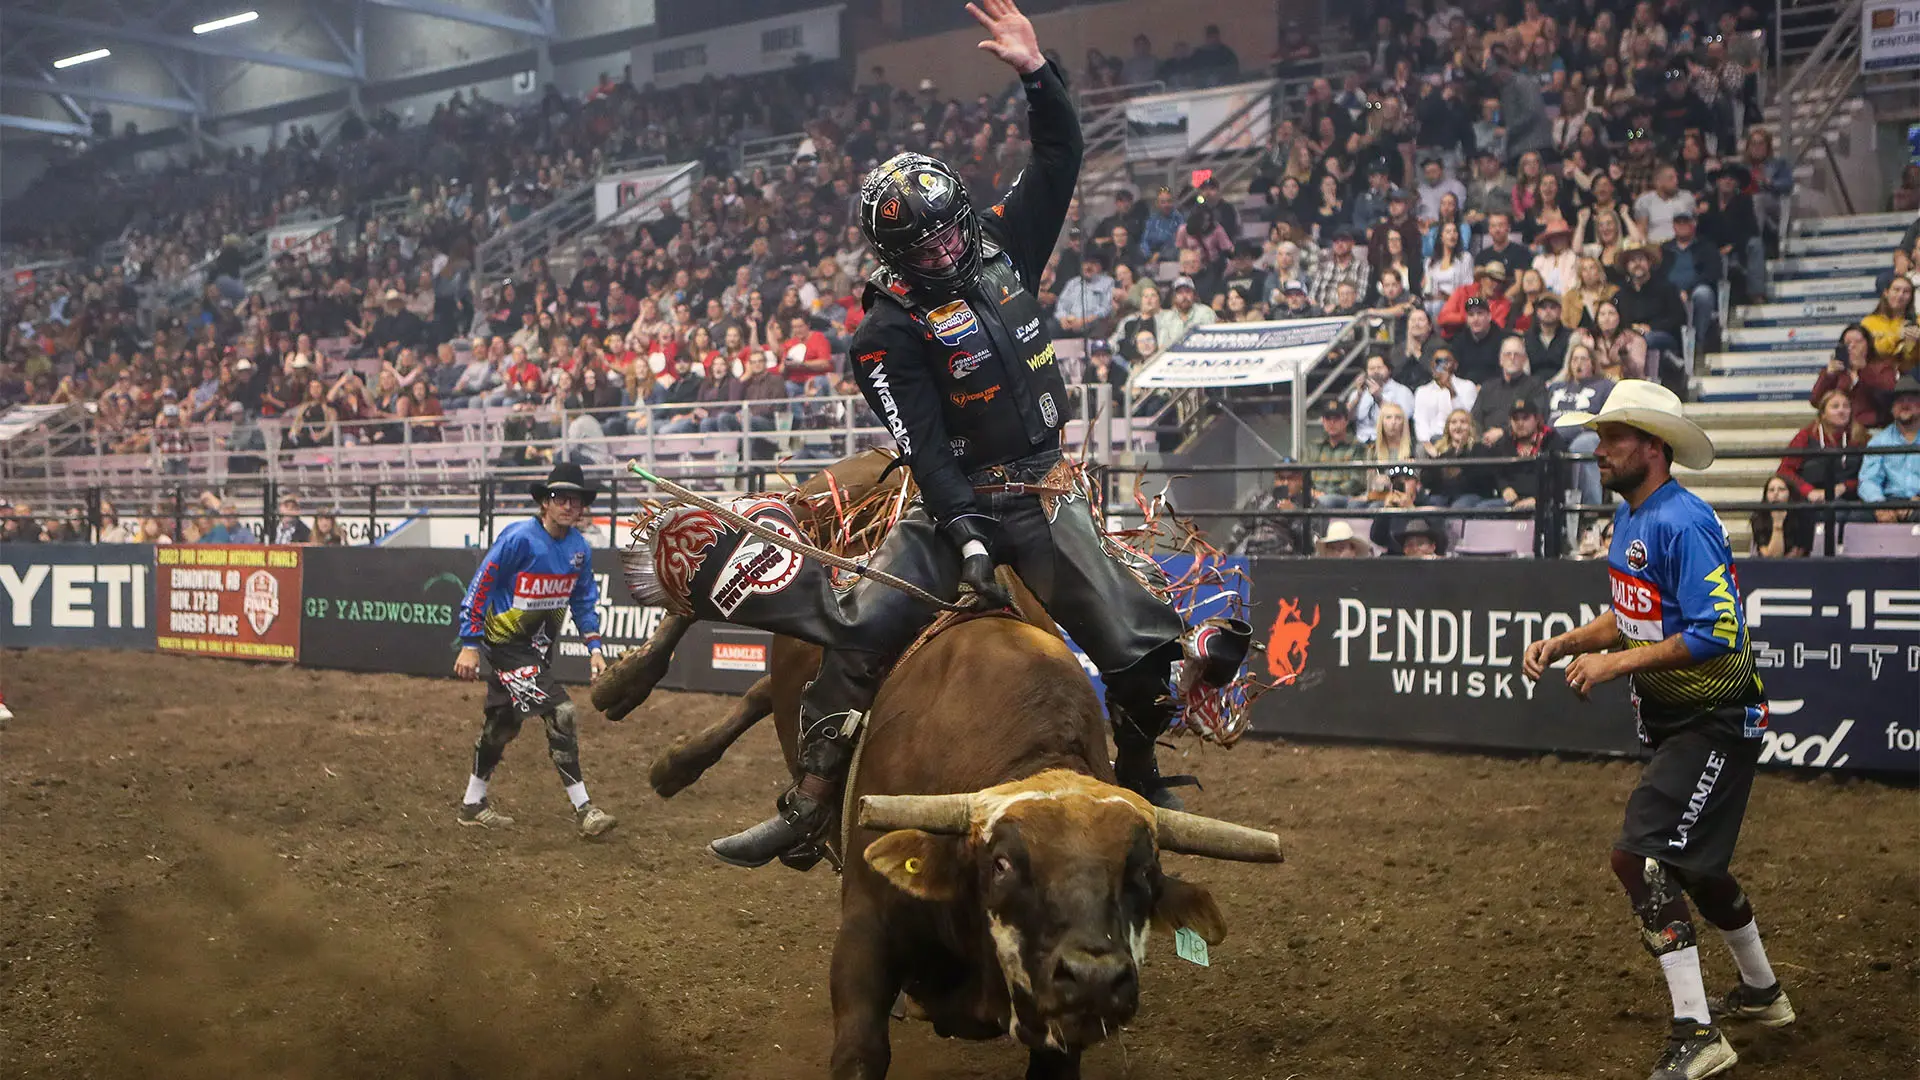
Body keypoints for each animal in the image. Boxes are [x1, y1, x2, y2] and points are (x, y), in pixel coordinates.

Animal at [587, 447, 1274, 1076]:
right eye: (1003, 864)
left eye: (1144, 876)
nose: (1095, 979)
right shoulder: (865, 935)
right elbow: (860, 1051)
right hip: (811, 515)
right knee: (733, 565)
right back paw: (625, 683)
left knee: (773, 688)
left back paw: (680, 765)